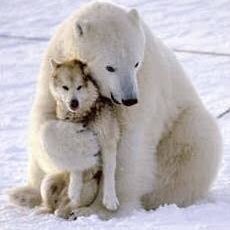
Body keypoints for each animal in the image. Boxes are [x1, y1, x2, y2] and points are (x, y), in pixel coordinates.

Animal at [45, 59, 119, 214]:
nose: (74, 103)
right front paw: (74, 188)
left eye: (79, 87)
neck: (84, 117)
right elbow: (76, 165)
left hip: (91, 188)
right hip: (49, 182)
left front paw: (110, 199)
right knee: (57, 206)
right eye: (65, 87)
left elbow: (110, 170)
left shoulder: (108, 140)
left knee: (67, 207)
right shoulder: (74, 141)